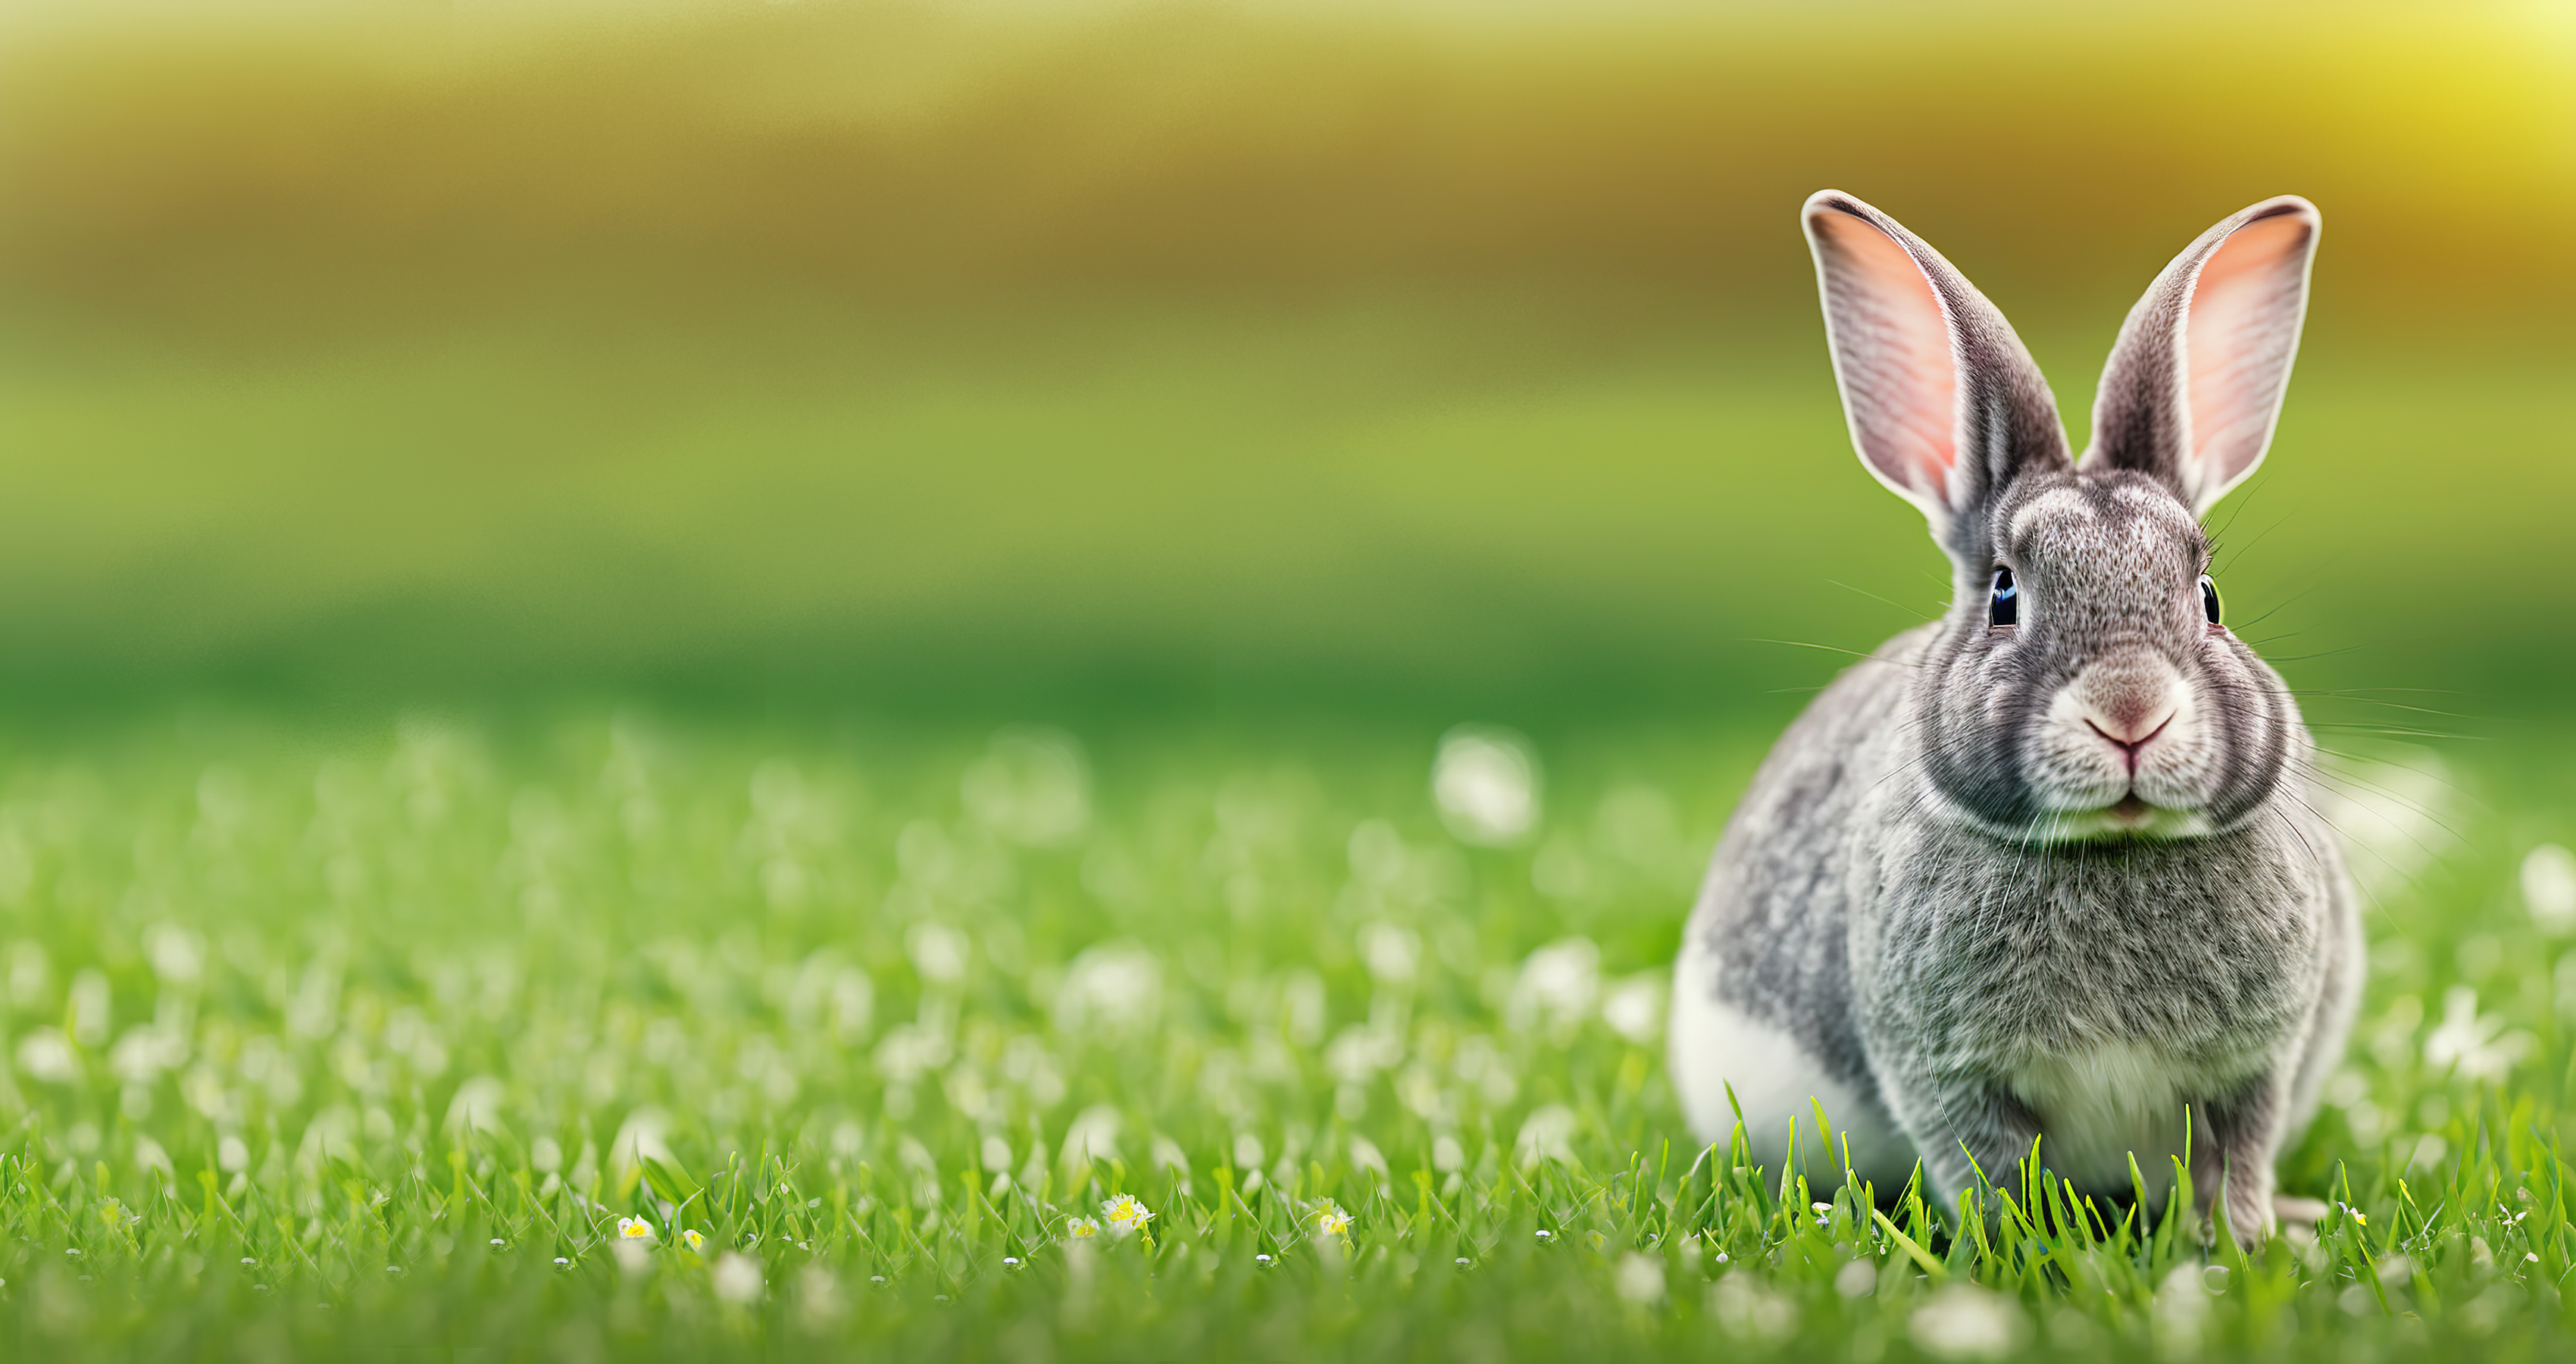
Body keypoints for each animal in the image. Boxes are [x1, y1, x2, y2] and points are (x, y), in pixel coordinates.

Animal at [1668, 190, 2358, 1243]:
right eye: (2003, 594)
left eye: (2208, 598)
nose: (2130, 712)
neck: (2111, 849)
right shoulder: (1945, 1076)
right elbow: (1989, 1170)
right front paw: (2019, 1247)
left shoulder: (2253, 1071)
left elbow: (2234, 1156)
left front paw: (2243, 1238)